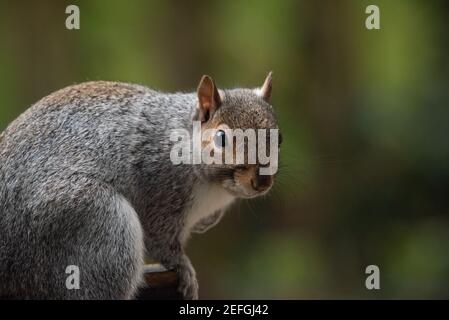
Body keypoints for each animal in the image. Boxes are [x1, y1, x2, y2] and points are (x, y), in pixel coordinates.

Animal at [0, 74, 278, 298]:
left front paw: (207, 222)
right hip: (98, 223)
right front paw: (185, 270)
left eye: (279, 137)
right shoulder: (158, 190)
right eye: (221, 138)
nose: (261, 182)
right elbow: (162, 242)